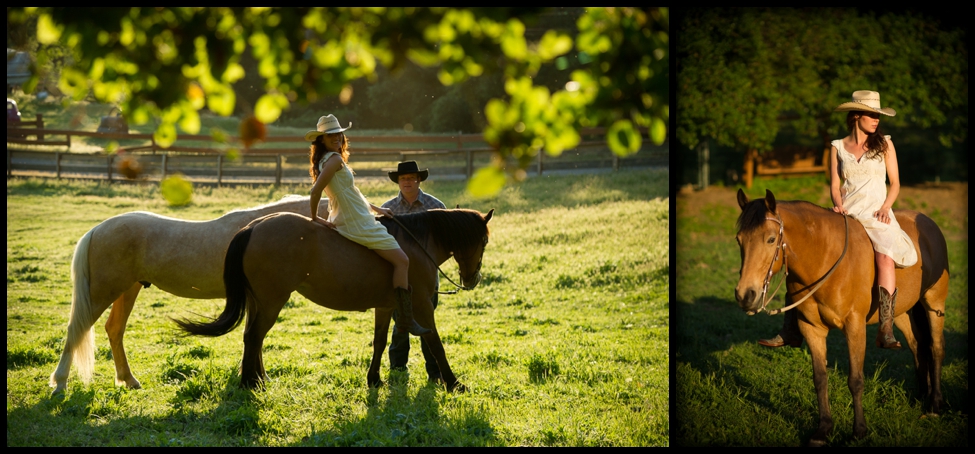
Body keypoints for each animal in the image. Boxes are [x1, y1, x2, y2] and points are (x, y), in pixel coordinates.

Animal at [48, 193, 332, 396]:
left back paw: (129, 380)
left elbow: (254, 337)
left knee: (114, 329)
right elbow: (255, 336)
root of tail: (97, 230)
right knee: (77, 329)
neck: (260, 230)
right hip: (103, 293)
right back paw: (60, 384)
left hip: (127, 290)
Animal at [172, 208, 492, 390]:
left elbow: (379, 342)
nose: (472, 279)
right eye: (485, 240)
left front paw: (374, 379)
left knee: (255, 338)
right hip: (272, 301)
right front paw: (453, 382)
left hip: (259, 302)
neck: (414, 244)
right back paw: (250, 384)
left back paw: (260, 379)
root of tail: (254, 227)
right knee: (254, 337)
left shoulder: (386, 305)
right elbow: (435, 343)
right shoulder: (423, 306)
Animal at [736, 188, 948, 446]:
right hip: (902, 311)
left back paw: (935, 404)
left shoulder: (854, 326)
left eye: (770, 239)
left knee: (936, 347)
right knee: (918, 346)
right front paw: (823, 430)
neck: (824, 258)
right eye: (739, 240)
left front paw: (859, 431)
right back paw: (921, 396)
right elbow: (820, 379)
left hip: (934, 302)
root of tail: (927, 222)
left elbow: (855, 380)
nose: (745, 295)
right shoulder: (812, 329)